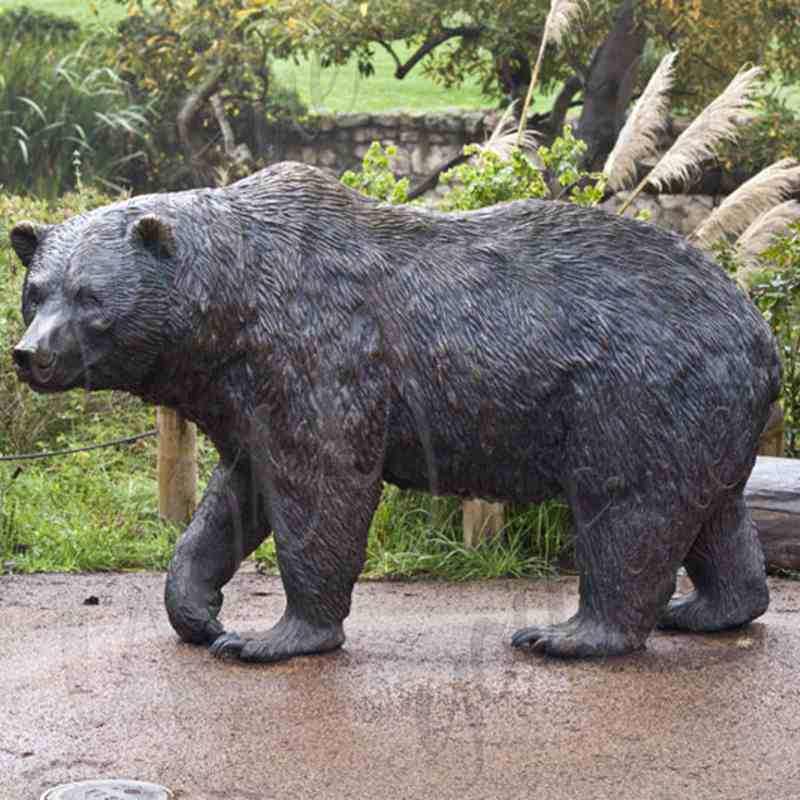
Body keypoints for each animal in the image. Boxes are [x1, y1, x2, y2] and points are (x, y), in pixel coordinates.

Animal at [10, 161, 780, 662]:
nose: (30, 355)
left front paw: (272, 636)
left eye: (90, 297)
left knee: (626, 507)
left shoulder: (320, 352)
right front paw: (198, 612)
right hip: (701, 412)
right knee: (712, 510)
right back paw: (707, 609)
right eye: (36, 290)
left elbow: (323, 487)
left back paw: (568, 633)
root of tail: (761, 332)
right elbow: (237, 493)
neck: (231, 314)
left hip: (635, 393)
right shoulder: (245, 391)